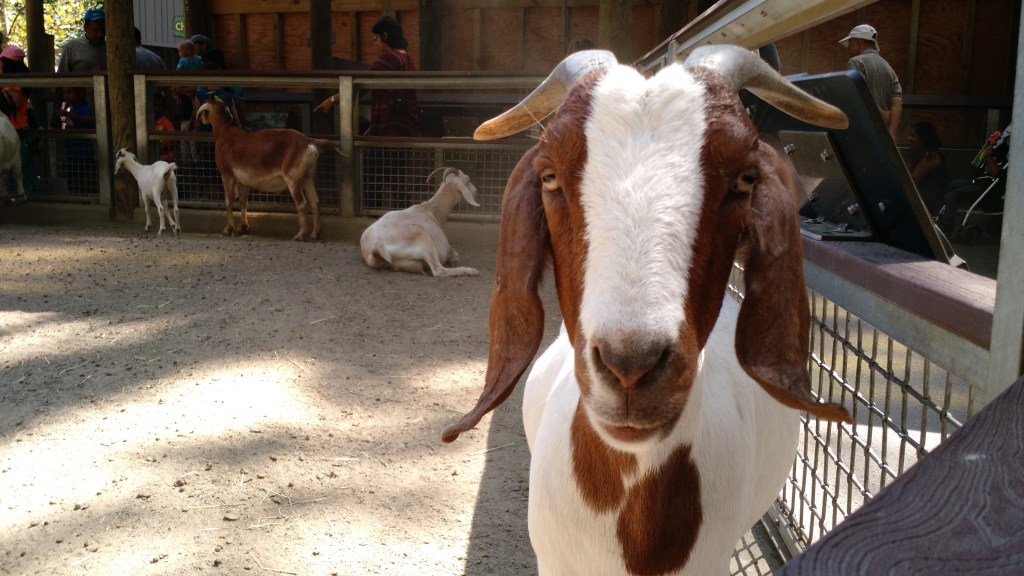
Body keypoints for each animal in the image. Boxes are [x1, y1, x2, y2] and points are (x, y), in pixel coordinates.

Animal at [195, 96, 340, 241]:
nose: (202, 121)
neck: (224, 132)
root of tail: (308, 142)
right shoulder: (243, 182)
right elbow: (243, 202)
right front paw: (242, 227)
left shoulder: (226, 175)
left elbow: (228, 201)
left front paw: (228, 229)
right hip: (308, 177)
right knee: (315, 203)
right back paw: (315, 234)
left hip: (293, 179)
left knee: (303, 204)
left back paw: (299, 235)